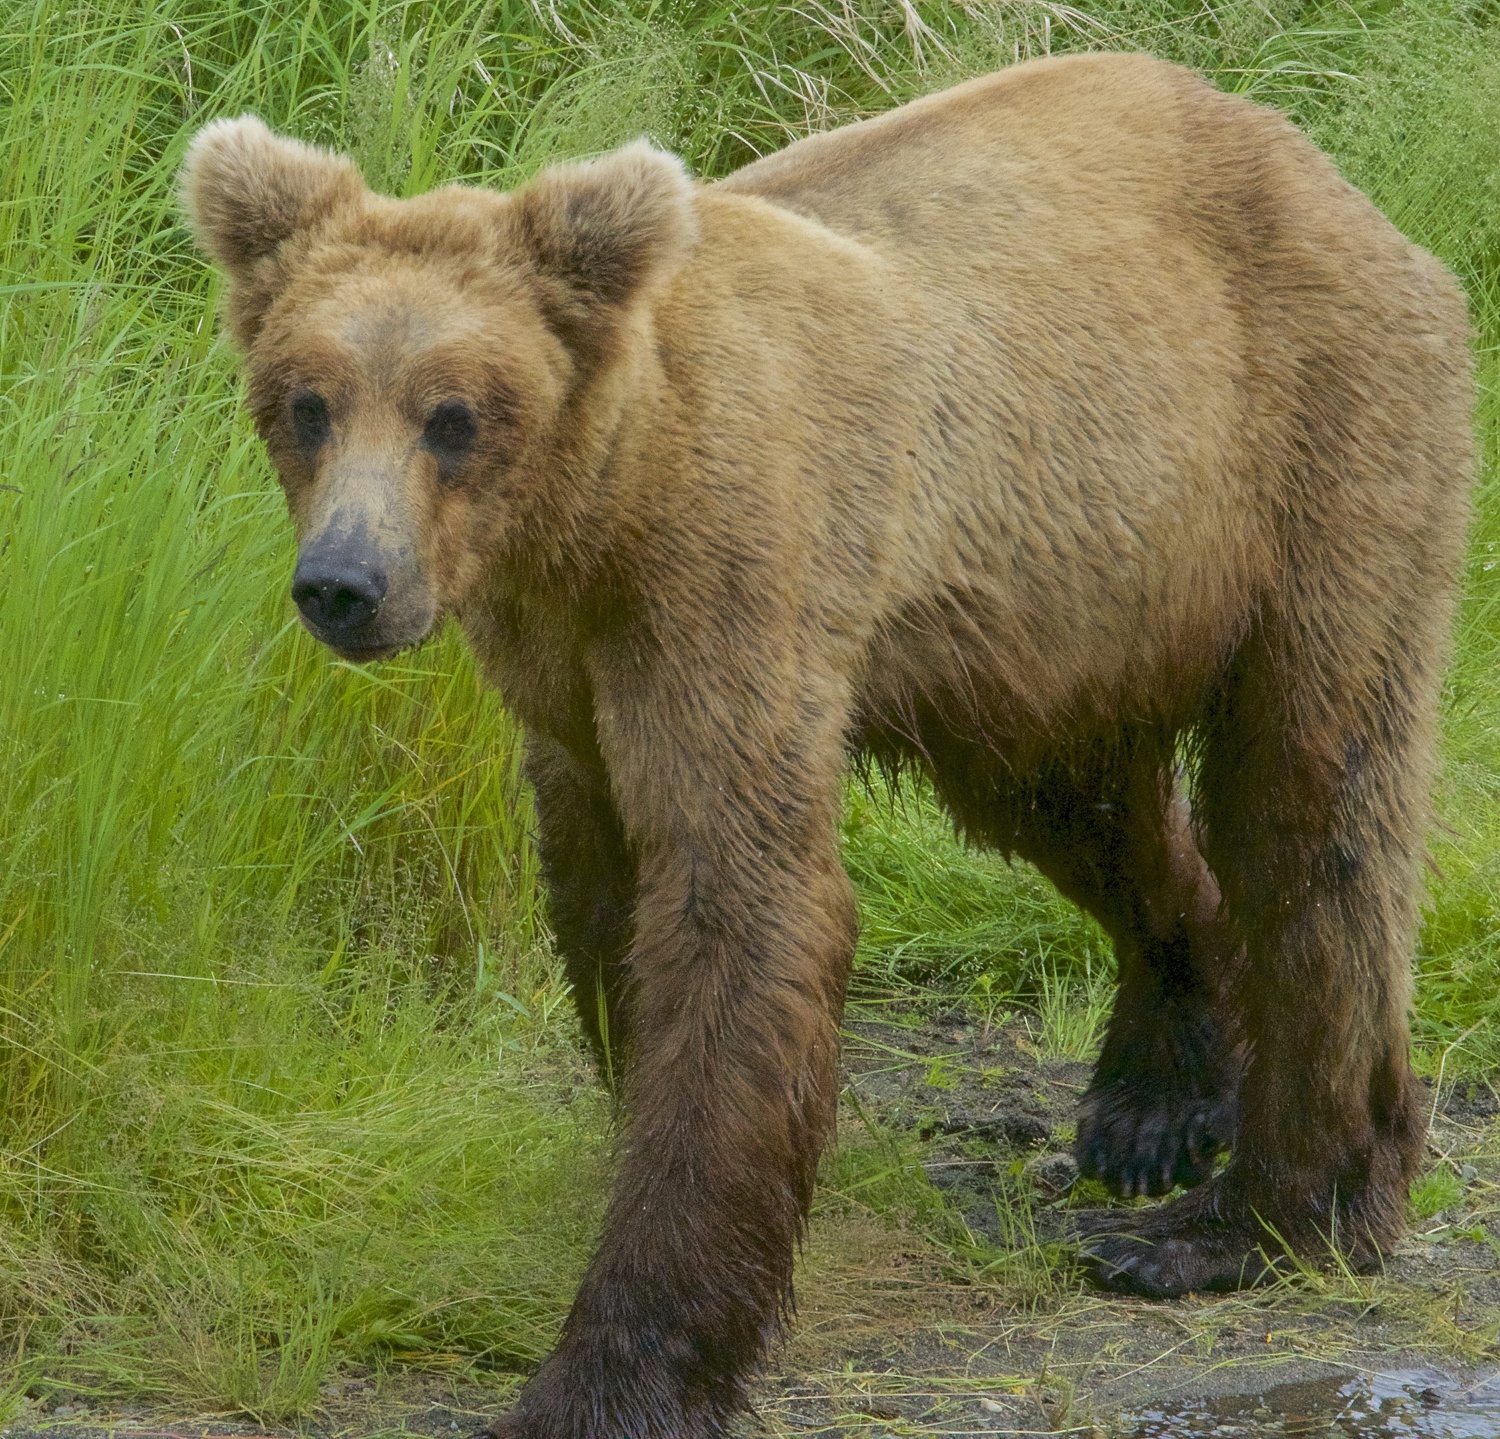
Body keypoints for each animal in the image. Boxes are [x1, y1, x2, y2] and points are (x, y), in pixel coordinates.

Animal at [181, 47, 1470, 1439]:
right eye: (306, 400)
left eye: (455, 413)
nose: (346, 583)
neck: (595, 517)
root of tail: (1331, 181)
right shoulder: (565, 676)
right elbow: (606, 889)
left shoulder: (729, 577)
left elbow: (739, 903)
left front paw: (611, 1370)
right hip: (1054, 612)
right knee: (1084, 811)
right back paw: (1156, 1102)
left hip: (1314, 454)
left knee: (1311, 804)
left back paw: (1256, 1214)